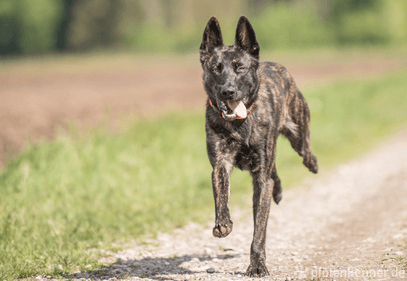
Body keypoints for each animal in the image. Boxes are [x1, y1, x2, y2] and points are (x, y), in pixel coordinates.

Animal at [199, 15, 320, 276]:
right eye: (216, 69)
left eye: (240, 68)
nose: (228, 91)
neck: (240, 124)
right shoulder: (220, 164)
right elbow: (221, 194)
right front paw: (222, 222)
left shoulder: (261, 177)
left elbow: (259, 230)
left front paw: (257, 265)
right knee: (275, 174)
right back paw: (279, 190)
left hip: (297, 134)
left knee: (304, 152)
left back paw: (312, 163)